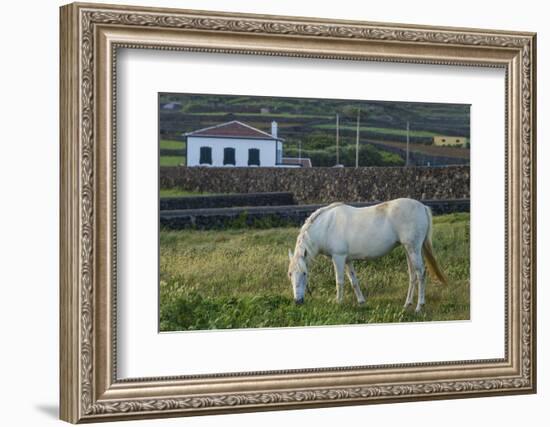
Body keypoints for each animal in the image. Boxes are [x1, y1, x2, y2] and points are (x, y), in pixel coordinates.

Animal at [288, 199, 448, 312]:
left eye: (304, 273)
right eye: (290, 274)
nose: (298, 301)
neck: (326, 226)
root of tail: (422, 207)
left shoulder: (338, 258)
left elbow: (339, 281)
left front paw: (338, 302)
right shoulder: (347, 260)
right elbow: (353, 281)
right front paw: (361, 302)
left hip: (413, 249)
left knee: (421, 274)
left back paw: (419, 306)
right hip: (409, 250)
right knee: (413, 275)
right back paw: (407, 304)